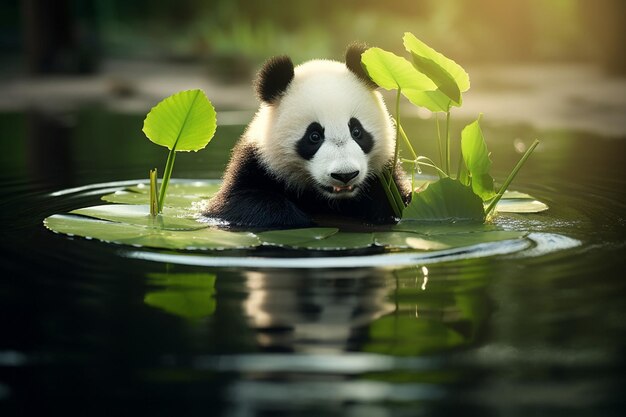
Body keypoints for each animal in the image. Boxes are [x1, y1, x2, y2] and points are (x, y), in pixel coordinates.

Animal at [202, 44, 412, 228]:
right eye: (314, 136)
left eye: (357, 131)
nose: (345, 175)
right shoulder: (255, 167)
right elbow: (242, 204)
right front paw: (296, 218)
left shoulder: (384, 182)